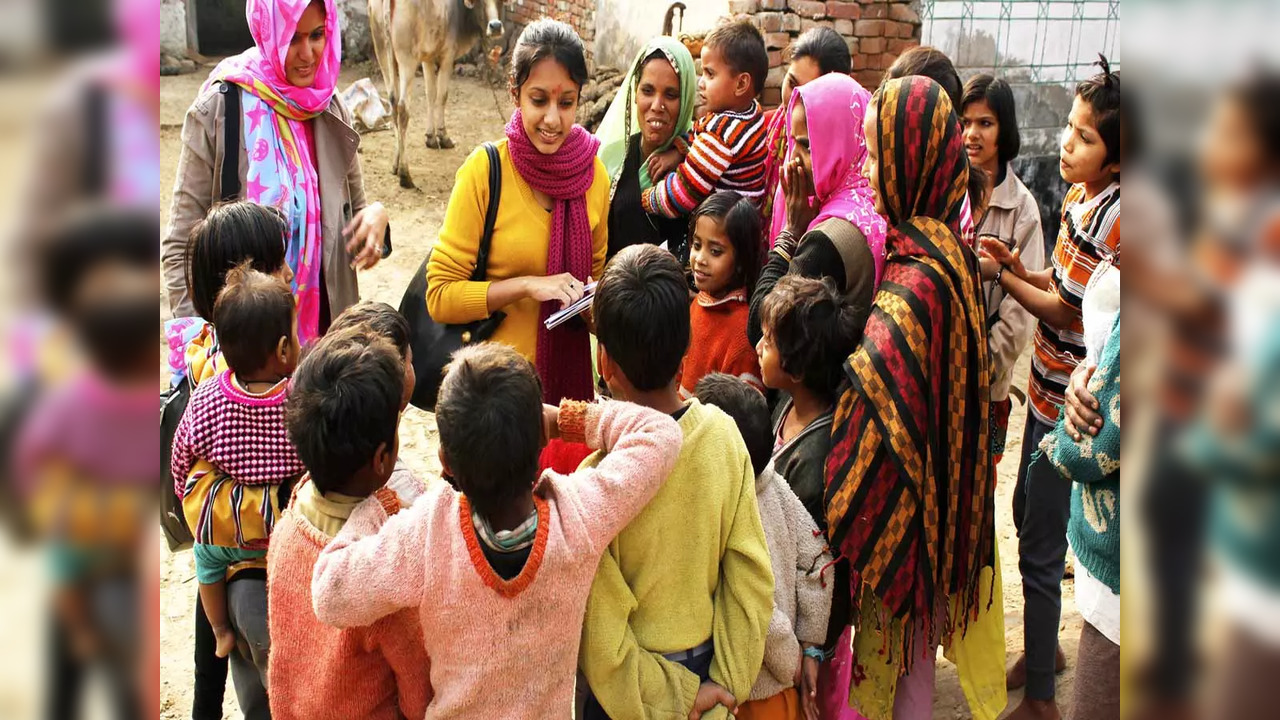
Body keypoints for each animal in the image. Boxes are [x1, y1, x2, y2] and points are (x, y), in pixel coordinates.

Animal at [368, 0, 501, 188]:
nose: (496, 26)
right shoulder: (447, 56)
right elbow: (442, 96)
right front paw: (443, 137)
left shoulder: (427, 59)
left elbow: (430, 95)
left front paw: (430, 137)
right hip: (407, 60)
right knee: (403, 109)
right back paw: (405, 174)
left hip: (382, 53)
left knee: (393, 103)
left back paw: (395, 164)